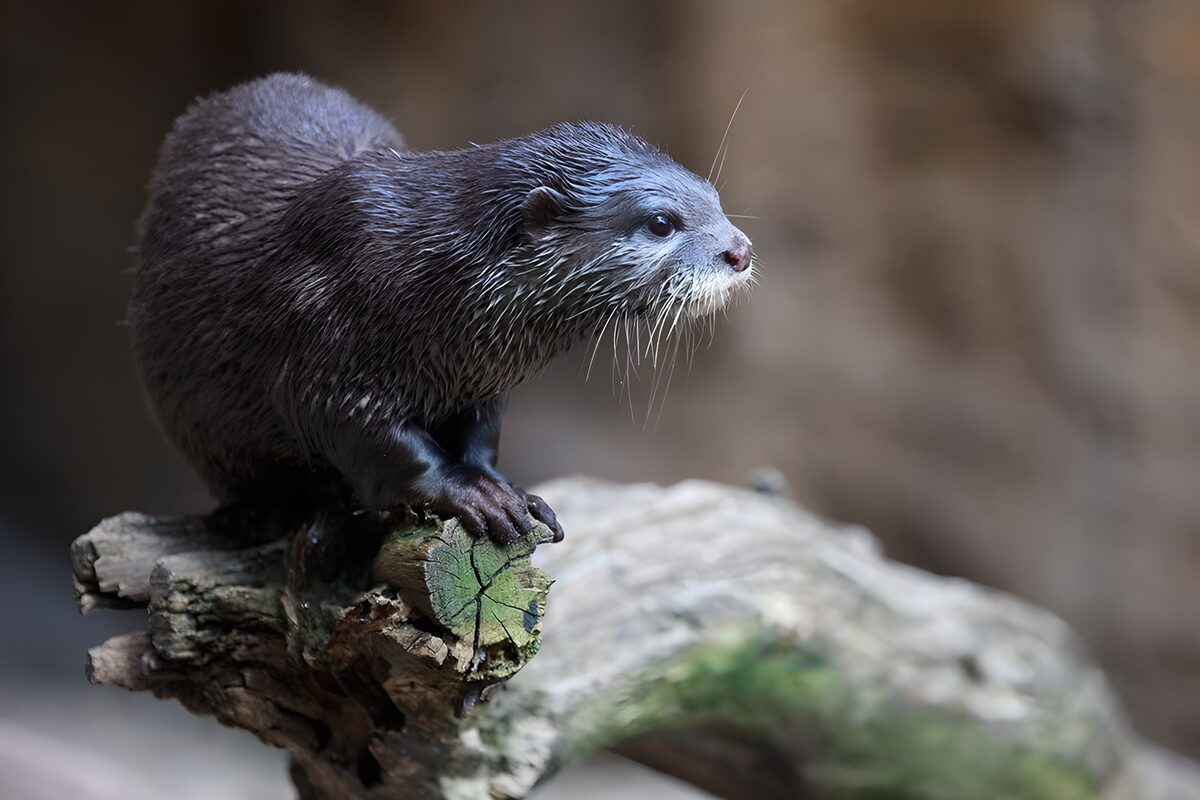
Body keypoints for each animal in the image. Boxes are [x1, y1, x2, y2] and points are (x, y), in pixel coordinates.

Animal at [130, 73, 754, 544]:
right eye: (662, 221)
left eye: (715, 199)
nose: (740, 250)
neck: (424, 271)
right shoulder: (319, 335)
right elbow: (359, 430)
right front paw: (472, 493)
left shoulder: (483, 379)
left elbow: (481, 432)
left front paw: (510, 488)